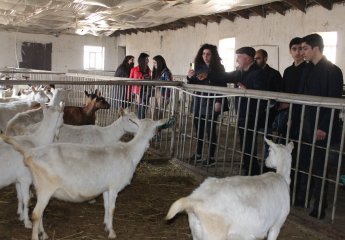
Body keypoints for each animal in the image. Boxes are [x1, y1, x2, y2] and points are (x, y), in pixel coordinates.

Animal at [2, 116, 169, 240]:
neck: (129, 152)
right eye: (156, 129)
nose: (150, 144)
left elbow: (106, 206)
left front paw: (106, 226)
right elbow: (113, 208)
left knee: (40, 212)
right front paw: (112, 232)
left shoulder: (106, 187)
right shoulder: (114, 186)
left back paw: (44, 234)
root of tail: (30, 154)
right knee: (36, 214)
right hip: (46, 187)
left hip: (39, 187)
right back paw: (36, 236)